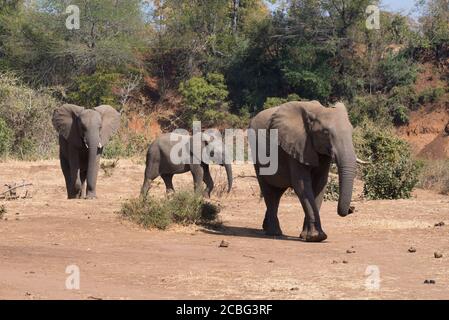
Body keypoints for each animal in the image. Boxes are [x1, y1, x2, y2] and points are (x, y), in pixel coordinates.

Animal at [250, 101, 358, 241]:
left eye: (351, 130)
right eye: (325, 133)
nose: (351, 209)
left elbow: (320, 184)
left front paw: (308, 236)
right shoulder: (296, 146)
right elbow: (301, 185)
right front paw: (316, 237)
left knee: (277, 193)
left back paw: (266, 227)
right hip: (257, 158)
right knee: (268, 191)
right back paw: (274, 233)